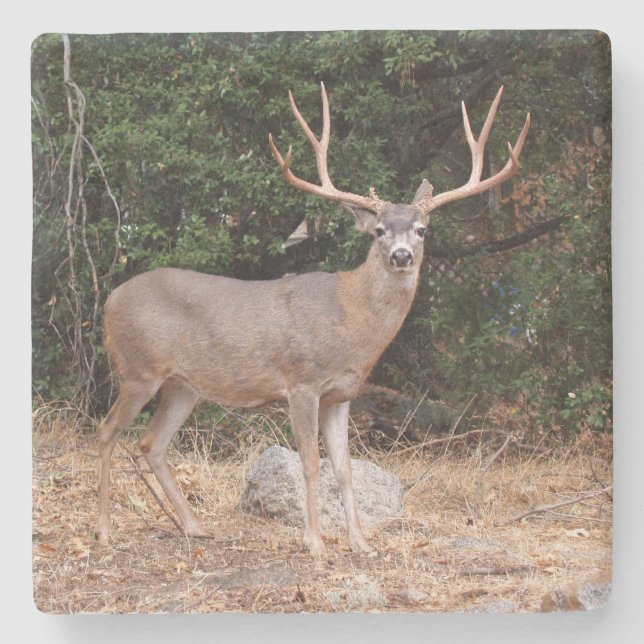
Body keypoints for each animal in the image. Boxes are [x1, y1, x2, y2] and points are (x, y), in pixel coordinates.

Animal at [97, 83, 530, 554]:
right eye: (379, 231)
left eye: (422, 230)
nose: (401, 256)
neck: (351, 322)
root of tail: (109, 300)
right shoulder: (301, 383)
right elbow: (309, 463)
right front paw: (315, 542)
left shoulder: (342, 394)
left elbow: (345, 467)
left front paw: (361, 542)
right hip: (137, 369)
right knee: (107, 431)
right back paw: (103, 530)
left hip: (183, 385)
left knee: (151, 443)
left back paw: (195, 526)